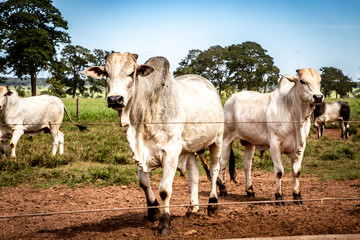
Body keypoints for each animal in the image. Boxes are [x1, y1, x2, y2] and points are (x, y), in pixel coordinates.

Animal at [219, 68, 324, 205]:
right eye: (302, 81)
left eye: (320, 81)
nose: (318, 97)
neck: (295, 115)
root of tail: (230, 98)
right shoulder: (275, 144)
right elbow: (279, 171)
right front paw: (279, 196)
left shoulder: (302, 146)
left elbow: (296, 171)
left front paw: (297, 196)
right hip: (226, 139)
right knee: (222, 162)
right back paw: (223, 189)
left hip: (249, 142)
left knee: (247, 164)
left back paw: (250, 190)